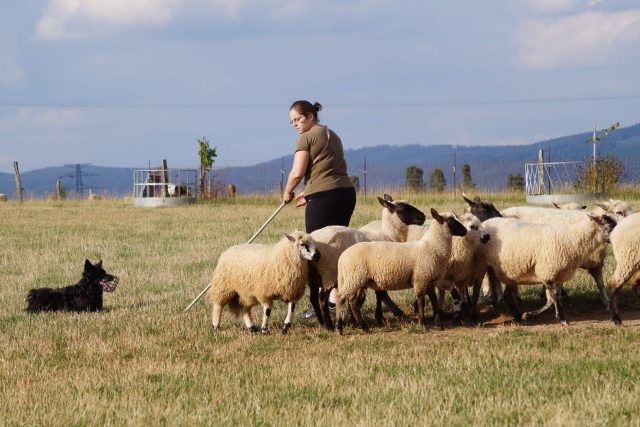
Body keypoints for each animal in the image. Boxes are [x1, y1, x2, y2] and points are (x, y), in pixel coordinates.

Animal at [308, 196, 424, 330]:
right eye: (401, 207)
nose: (423, 216)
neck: (389, 235)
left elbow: (377, 293)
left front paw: (359, 318)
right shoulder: (380, 269)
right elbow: (380, 294)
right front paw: (378, 317)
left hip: (314, 275)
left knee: (313, 298)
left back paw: (321, 322)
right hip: (328, 273)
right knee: (322, 298)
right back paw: (328, 325)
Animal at [336, 209, 464, 336]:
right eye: (451, 221)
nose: (465, 230)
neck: (433, 246)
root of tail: (342, 256)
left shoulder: (429, 280)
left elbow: (434, 302)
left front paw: (439, 325)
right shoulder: (420, 278)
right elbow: (421, 301)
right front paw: (423, 324)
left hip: (360, 281)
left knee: (354, 302)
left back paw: (364, 328)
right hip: (354, 278)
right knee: (340, 298)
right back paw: (339, 328)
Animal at [480, 214, 616, 324]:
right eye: (609, 228)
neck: (572, 239)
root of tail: (486, 222)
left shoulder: (558, 276)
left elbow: (551, 300)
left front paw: (529, 314)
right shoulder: (548, 272)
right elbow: (554, 297)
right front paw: (563, 320)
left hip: (512, 272)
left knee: (508, 295)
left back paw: (518, 317)